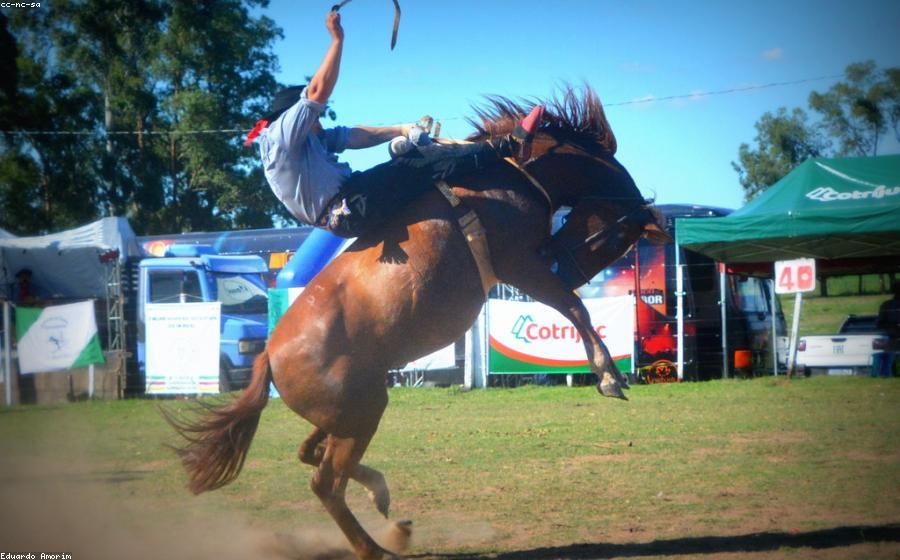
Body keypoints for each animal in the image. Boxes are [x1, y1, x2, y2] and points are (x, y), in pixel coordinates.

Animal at [167, 86, 667, 560]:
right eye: (619, 240)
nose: (564, 262)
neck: (513, 175)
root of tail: (269, 354)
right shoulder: (519, 263)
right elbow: (575, 308)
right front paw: (609, 376)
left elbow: (572, 307)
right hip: (361, 412)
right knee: (326, 482)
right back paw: (377, 546)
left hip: (350, 411)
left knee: (311, 453)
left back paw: (384, 502)